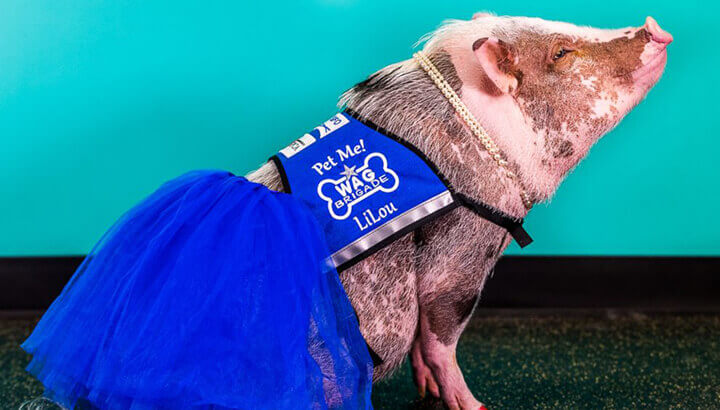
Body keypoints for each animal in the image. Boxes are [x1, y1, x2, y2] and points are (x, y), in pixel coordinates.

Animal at [248, 12, 672, 410]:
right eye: (561, 52)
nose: (653, 25)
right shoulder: (463, 241)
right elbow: (439, 336)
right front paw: (475, 405)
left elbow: (422, 342)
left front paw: (428, 391)